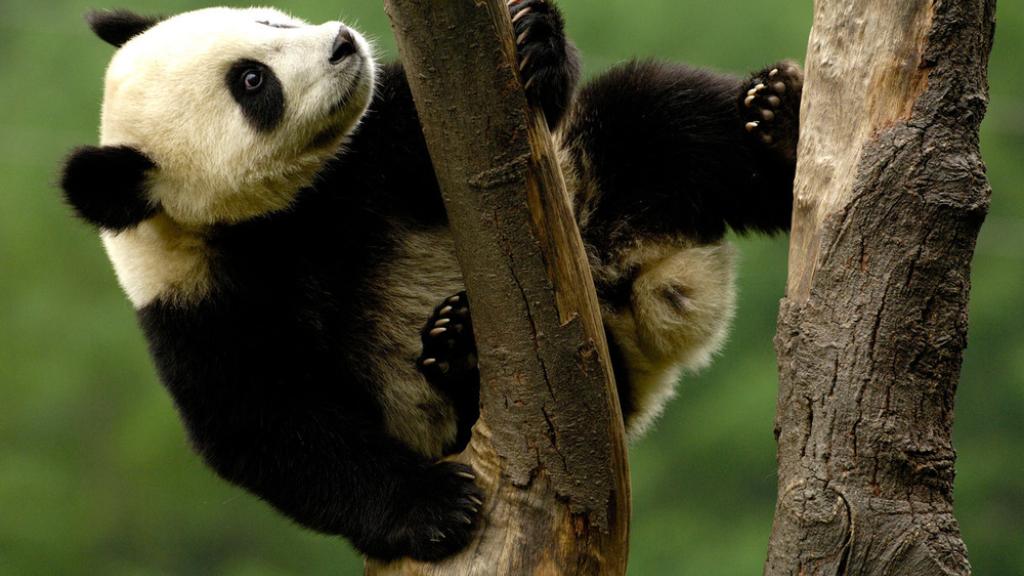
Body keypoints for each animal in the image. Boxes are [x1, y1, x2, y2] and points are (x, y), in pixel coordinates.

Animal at [60, 3, 801, 562]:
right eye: (252, 83)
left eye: (266, 21)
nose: (343, 44)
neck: (286, 212)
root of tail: (643, 293)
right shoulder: (204, 305)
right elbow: (265, 427)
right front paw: (437, 508)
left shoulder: (373, 145)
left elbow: (448, 132)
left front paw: (534, 39)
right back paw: (458, 349)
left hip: (588, 176)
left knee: (659, 116)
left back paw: (780, 128)